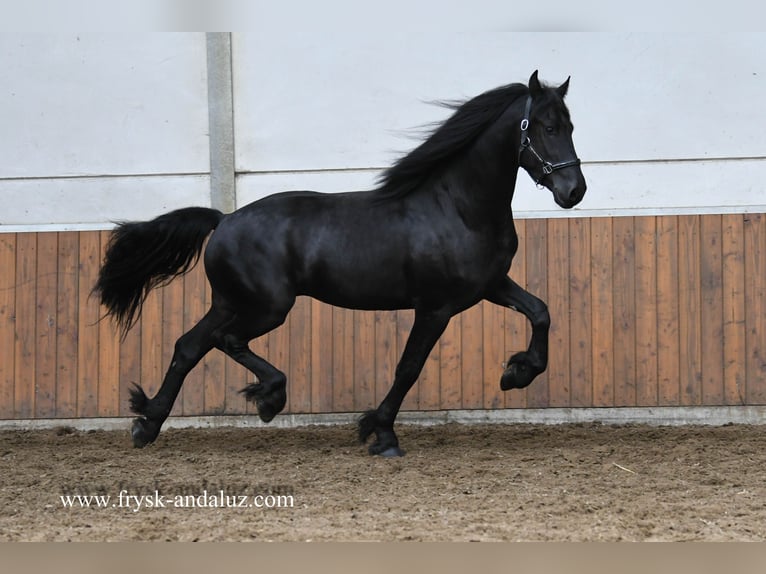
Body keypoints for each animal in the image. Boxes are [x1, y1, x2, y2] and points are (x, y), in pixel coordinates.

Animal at [94, 70, 586, 457]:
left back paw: (147, 424)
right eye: (546, 127)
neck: (458, 208)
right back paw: (269, 398)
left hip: (231, 302)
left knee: (189, 346)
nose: (574, 191)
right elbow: (408, 368)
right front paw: (381, 434)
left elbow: (541, 312)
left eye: (570, 125)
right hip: (268, 307)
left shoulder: (491, 285)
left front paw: (517, 373)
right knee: (225, 340)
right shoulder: (435, 307)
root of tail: (224, 219)